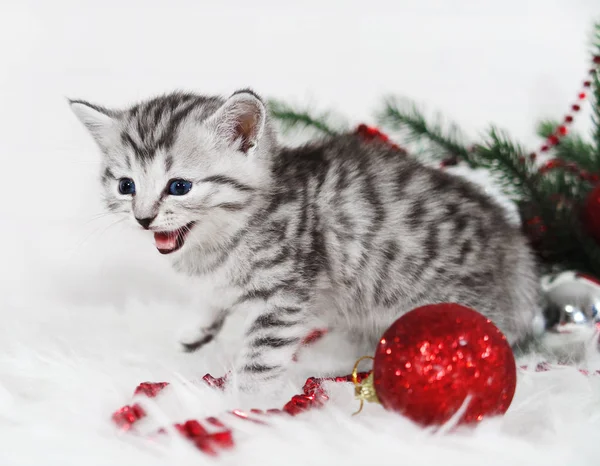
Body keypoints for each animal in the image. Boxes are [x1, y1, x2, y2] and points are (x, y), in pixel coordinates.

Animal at [69, 88, 540, 394]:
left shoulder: (285, 292)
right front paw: (200, 324)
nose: (143, 218)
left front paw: (240, 405)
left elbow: (259, 357)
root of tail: (520, 260)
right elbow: (215, 295)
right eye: (126, 186)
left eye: (179, 186)